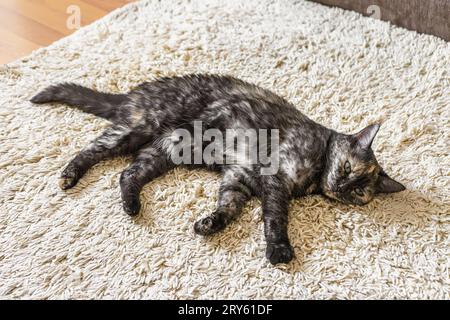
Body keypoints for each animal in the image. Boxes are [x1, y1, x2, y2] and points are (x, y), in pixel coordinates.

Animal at [31, 75, 404, 264]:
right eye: (346, 167)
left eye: (359, 191)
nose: (341, 187)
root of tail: (132, 94)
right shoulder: (274, 180)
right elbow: (276, 218)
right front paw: (279, 250)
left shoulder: (238, 178)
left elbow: (228, 208)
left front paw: (210, 224)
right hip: (139, 128)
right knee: (93, 149)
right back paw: (69, 175)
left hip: (168, 148)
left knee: (129, 173)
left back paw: (132, 205)